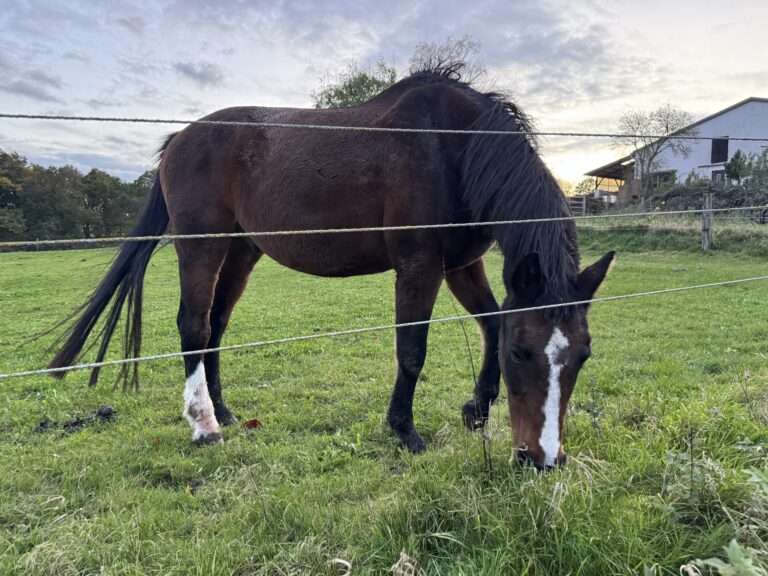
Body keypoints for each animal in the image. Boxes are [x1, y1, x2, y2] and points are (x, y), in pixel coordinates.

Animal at [48, 66, 613, 470]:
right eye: (523, 353)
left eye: (583, 355)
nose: (543, 459)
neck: (453, 146)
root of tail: (178, 142)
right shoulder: (420, 265)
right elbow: (412, 350)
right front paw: (404, 430)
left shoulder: (461, 264)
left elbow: (491, 322)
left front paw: (476, 410)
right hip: (201, 246)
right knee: (193, 325)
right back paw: (205, 425)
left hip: (242, 251)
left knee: (216, 326)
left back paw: (226, 411)